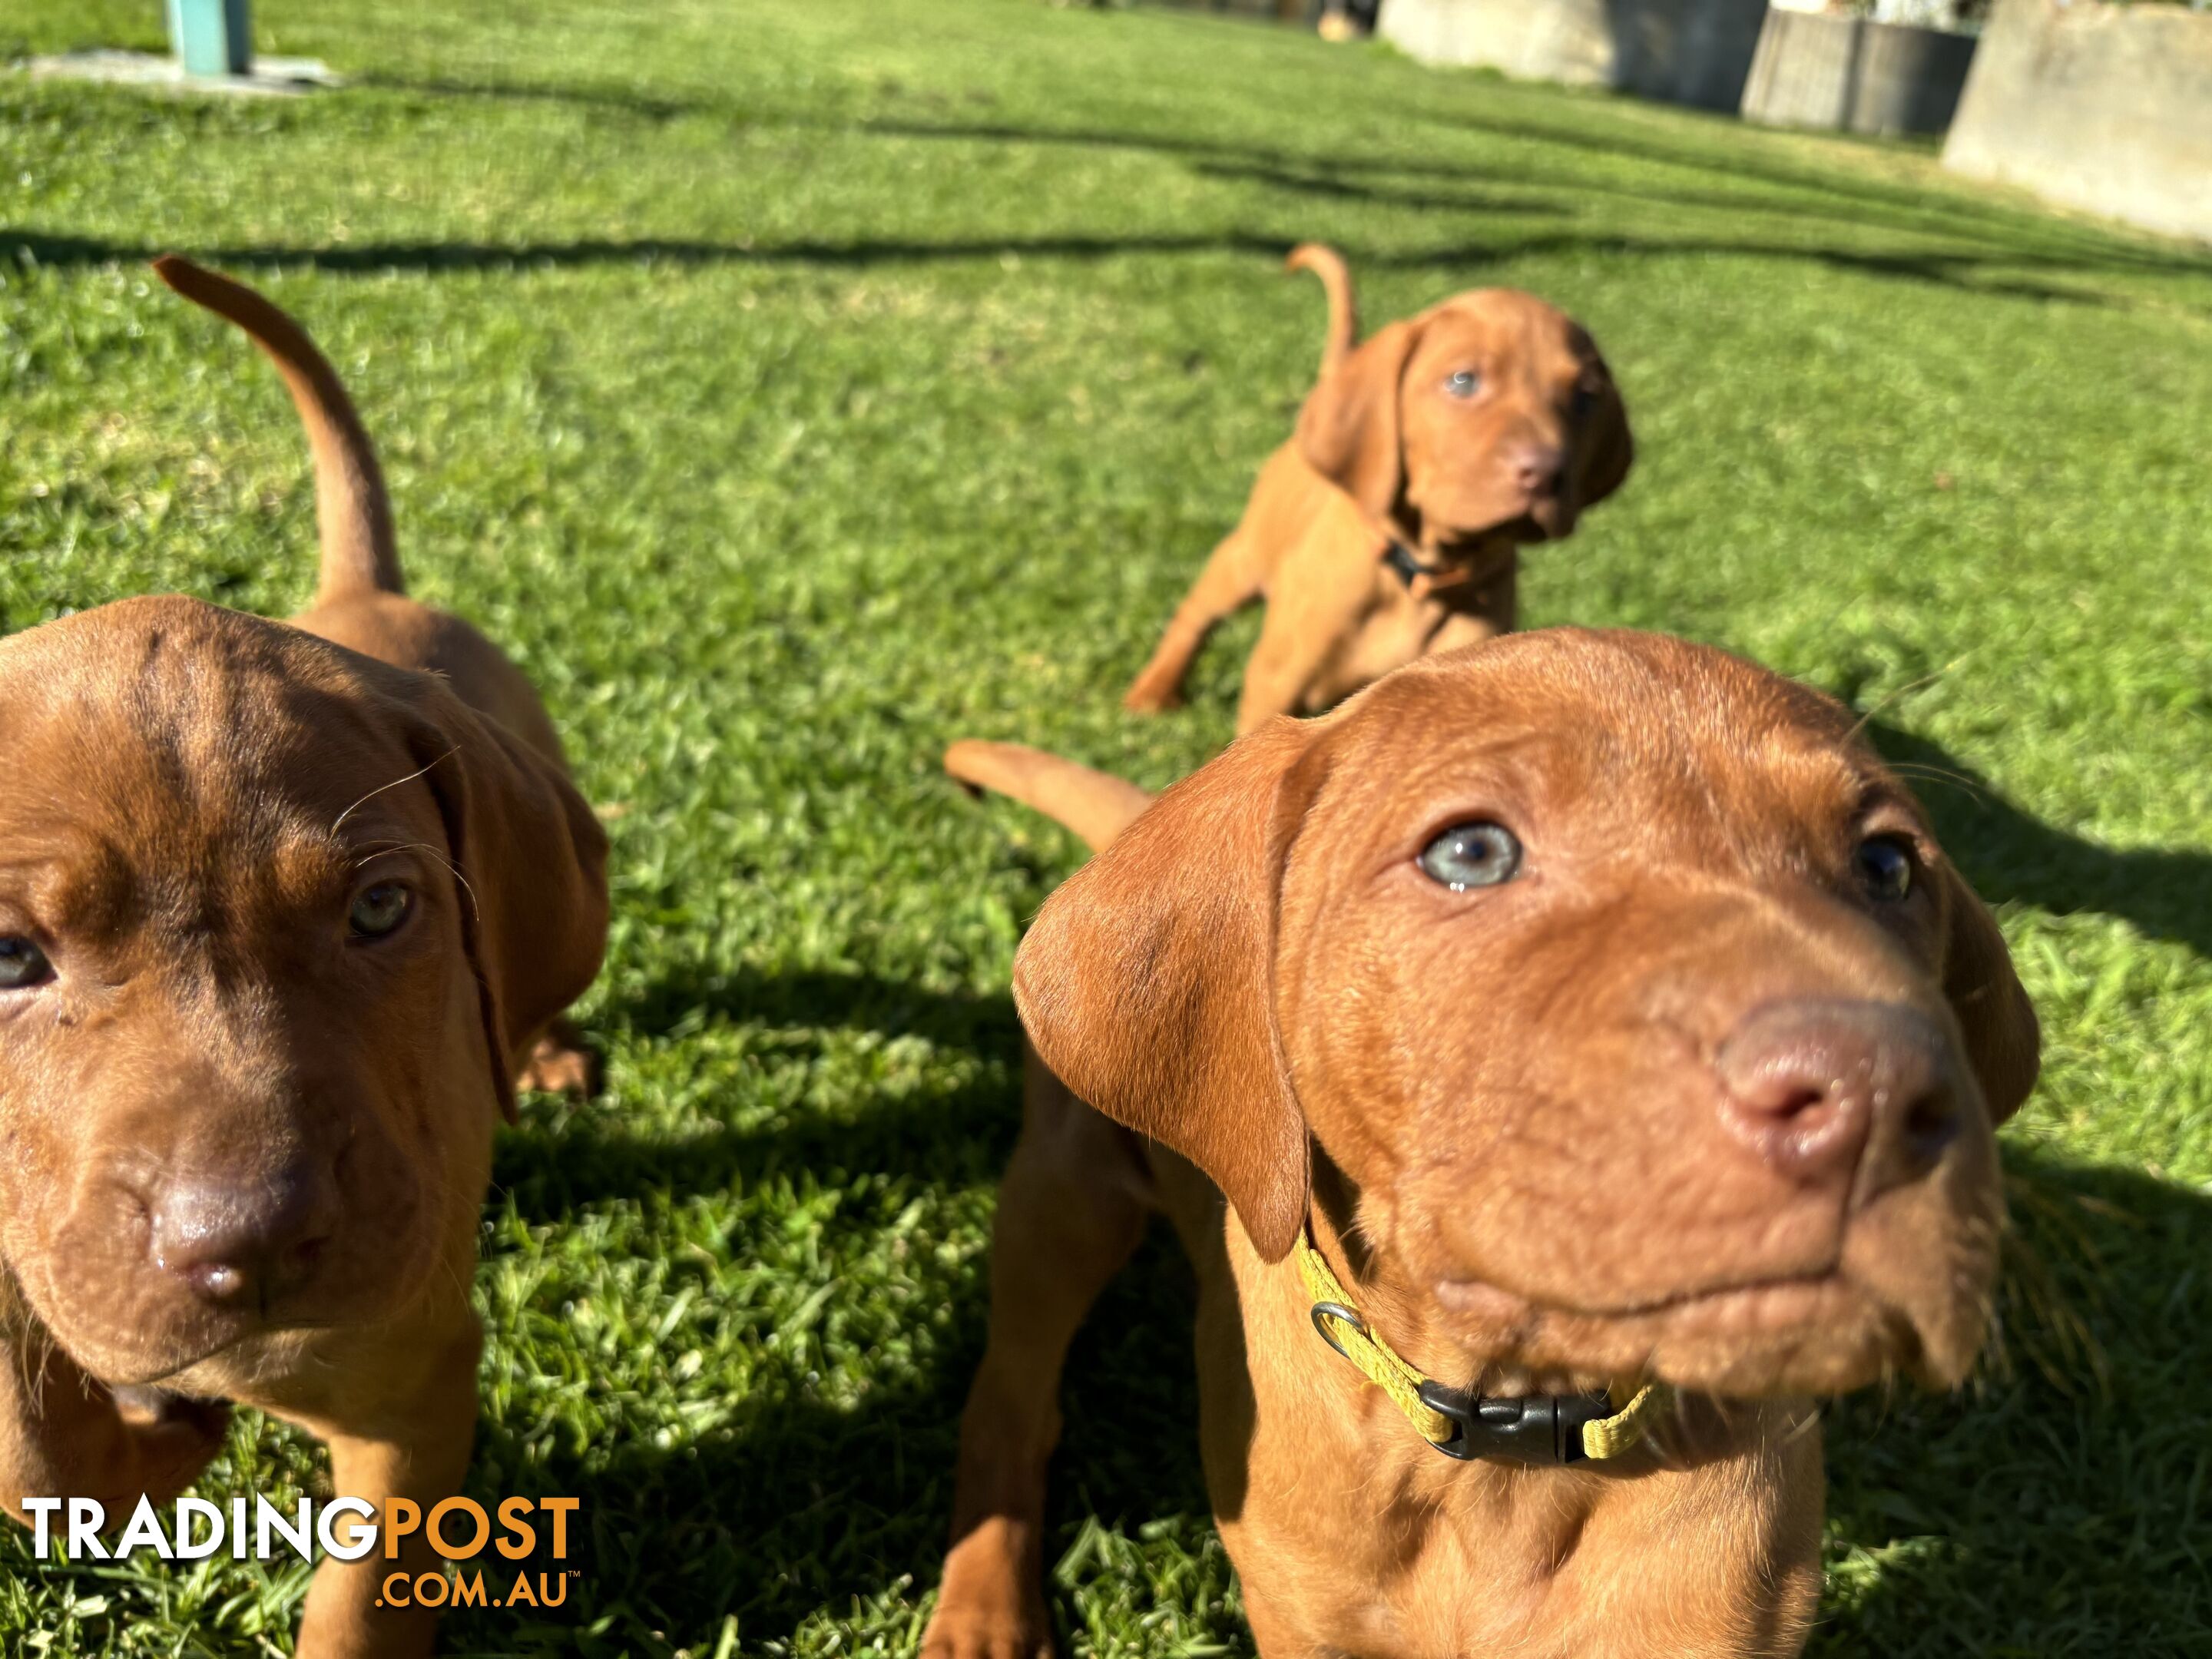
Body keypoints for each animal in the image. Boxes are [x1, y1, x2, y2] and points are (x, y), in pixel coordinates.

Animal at [0, 253, 606, 1654]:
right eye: (6, 959)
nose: (257, 1246)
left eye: (380, 912)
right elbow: (29, 1455)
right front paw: (144, 1443)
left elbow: (358, 1611)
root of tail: (362, 594)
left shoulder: (413, 1390)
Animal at [924, 628, 2026, 1659]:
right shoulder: (1304, 1621)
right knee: (1010, 1402)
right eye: (1472, 853)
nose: (1877, 1093)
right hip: (1062, 1201)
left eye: (1888, 865)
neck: (1510, 1451)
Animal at [1132, 249, 1637, 734]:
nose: (1546, 473)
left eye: (1586, 398)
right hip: (1247, 556)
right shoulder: (1275, 684)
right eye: (1463, 380)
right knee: (1197, 613)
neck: (1420, 578)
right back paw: (1153, 691)